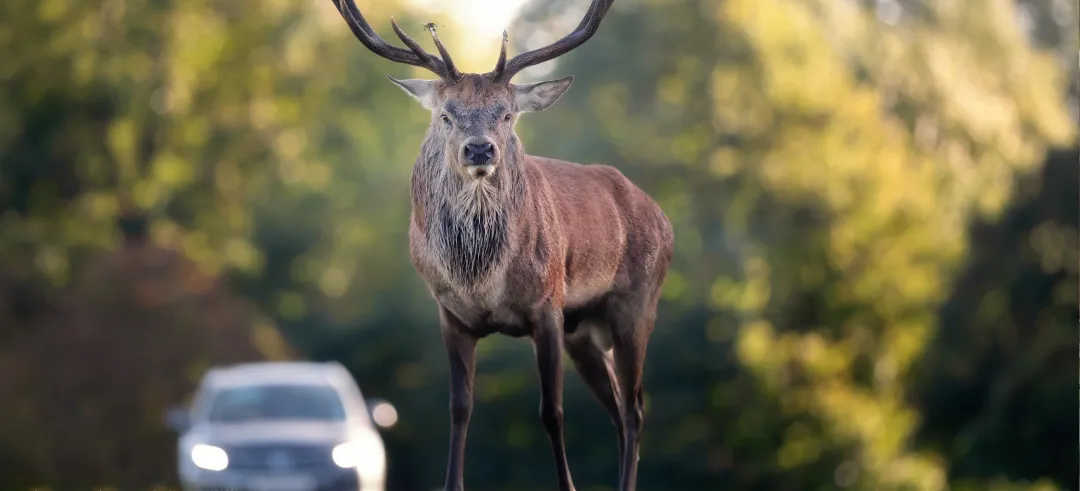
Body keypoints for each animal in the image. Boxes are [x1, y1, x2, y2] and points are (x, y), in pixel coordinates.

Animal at [329, 1, 673, 490]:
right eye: (446, 114)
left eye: (507, 114)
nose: (479, 150)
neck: (481, 279)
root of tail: (661, 215)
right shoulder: (450, 315)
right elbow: (459, 408)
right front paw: (452, 484)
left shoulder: (547, 306)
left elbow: (552, 411)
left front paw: (567, 485)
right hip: (585, 330)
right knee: (617, 408)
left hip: (637, 303)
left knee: (634, 409)